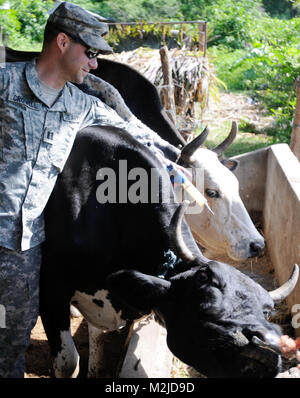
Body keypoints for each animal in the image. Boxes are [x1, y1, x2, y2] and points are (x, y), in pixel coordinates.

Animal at [41, 126, 298, 378]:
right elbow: (68, 363)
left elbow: (96, 336)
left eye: (267, 311)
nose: (257, 245)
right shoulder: (51, 289)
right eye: (211, 192)